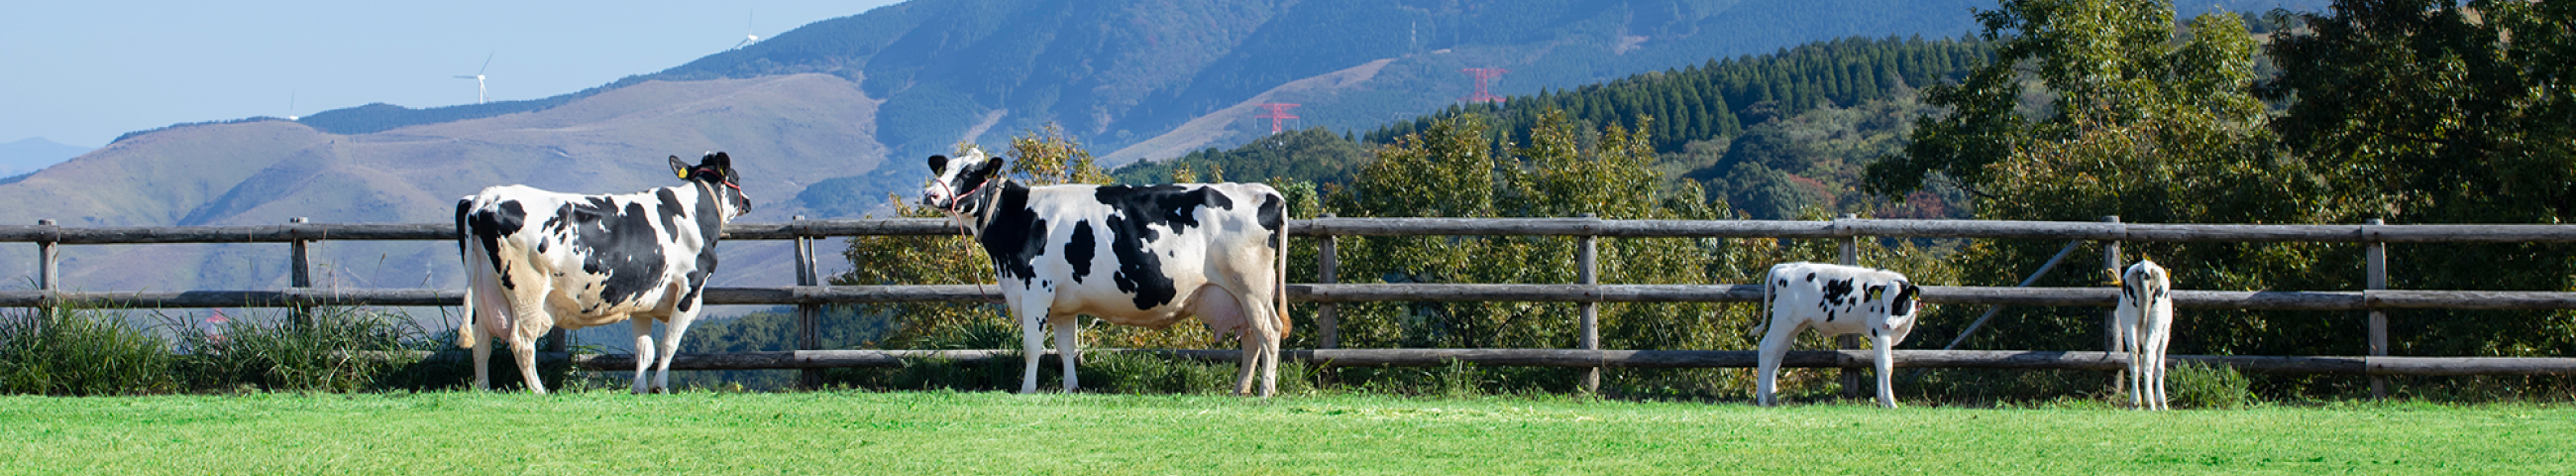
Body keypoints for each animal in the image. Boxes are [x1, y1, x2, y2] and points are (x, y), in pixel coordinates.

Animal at [453, 152, 752, 393]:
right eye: (735, 177)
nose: (747, 201)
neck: (694, 214)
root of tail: (489, 196)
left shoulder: (643, 296)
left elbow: (644, 349)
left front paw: (639, 389)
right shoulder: (690, 290)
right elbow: (669, 344)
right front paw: (660, 388)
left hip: (483, 288)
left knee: (481, 340)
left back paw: (483, 389)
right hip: (527, 290)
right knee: (521, 340)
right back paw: (538, 391)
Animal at [921, 146, 1298, 396]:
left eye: (968, 173)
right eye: (943, 169)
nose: (929, 194)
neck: (1021, 218)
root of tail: (1264, 191)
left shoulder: (1035, 292)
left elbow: (1031, 347)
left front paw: (1027, 390)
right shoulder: (1063, 305)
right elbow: (1065, 348)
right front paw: (1070, 389)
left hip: (1252, 288)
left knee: (1269, 332)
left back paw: (1265, 391)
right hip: (1237, 296)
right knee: (1250, 338)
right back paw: (1240, 390)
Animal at [1751, 262, 1916, 406]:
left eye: (1899, 302)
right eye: (1884, 302)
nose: (1886, 324)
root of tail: (1787, 266)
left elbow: (1878, 363)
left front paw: (1882, 400)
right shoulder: (1880, 333)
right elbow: (1885, 365)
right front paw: (1890, 402)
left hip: (1794, 326)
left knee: (1777, 356)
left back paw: (1772, 399)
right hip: (1783, 320)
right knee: (1767, 349)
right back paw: (1762, 399)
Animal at [2112, 258, 2174, 412]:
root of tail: (2144, 266)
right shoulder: (2165, 333)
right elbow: (2160, 366)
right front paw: (2162, 403)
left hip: (2129, 321)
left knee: (2134, 356)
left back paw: (2135, 402)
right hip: (2157, 322)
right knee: (2149, 355)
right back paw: (2150, 402)